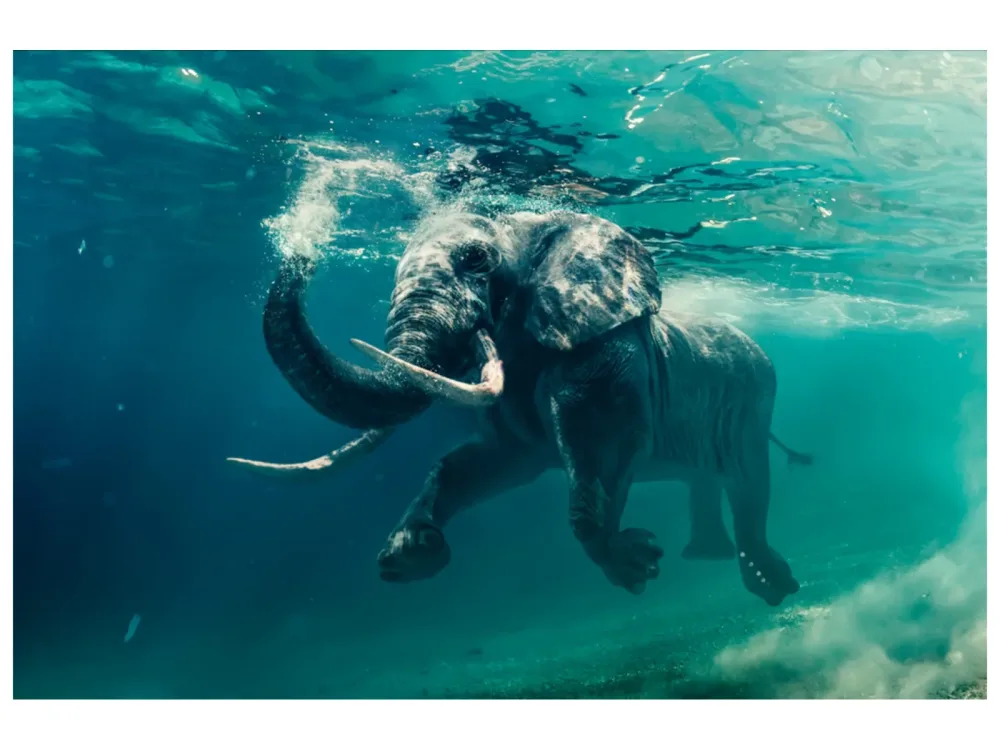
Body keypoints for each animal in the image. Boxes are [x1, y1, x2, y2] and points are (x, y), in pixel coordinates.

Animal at [229, 209, 813, 606]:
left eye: (476, 260)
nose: (302, 250)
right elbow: (481, 462)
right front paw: (410, 556)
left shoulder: (606, 351)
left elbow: (600, 448)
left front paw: (637, 565)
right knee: (710, 480)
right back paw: (711, 559)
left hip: (755, 400)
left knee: (749, 484)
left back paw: (772, 586)